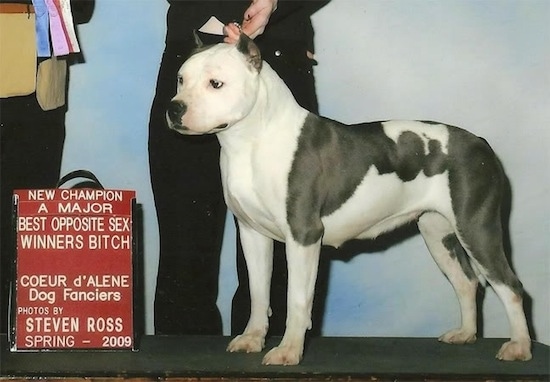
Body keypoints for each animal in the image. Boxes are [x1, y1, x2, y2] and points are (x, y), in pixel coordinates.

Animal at [165, 34, 536, 366]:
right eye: (181, 79)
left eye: (216, 83)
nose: (174, 107)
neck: (252, 140)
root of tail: (480, 143)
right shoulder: (252, 234)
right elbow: (259, 292)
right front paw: (253, 339)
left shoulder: (303, 235)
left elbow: (297, 299)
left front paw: (288, 351)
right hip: (437, 232)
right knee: (467, 282)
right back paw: (465, 334)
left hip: (476, 228)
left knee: (511, 285)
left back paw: (519, 347)